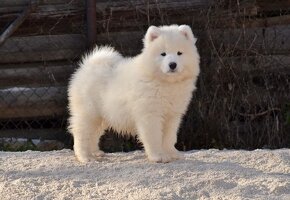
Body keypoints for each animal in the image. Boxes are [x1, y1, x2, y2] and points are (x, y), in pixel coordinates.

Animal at [67, 24, 199, 162]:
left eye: (179, 53)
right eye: (163, 54)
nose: (172, 64)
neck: (165, 83)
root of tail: (88, 66)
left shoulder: (172, 115)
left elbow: (169, 137)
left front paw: (172, 154)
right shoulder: (150, 114)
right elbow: (154, 137)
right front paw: (158, 156)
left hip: (101, 115)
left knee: (94, 134)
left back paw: (96, 152)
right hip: (88, 112)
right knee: (82, 133)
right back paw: (85, 157)